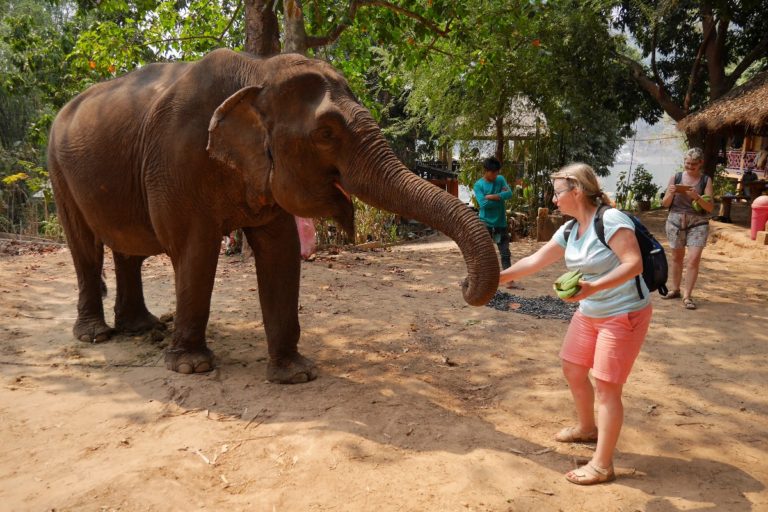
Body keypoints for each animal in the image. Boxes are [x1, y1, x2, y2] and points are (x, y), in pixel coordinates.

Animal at [49, 49, 504, 384]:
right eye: (326, 134)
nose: (463, 284)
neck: (257, 71)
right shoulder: (176, 163)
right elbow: (195, 251)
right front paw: (192, 368)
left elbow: (281, 250)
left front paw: (295, 374)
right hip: (58, 170)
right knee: (85, 246)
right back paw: (97, 336)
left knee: (126, 250)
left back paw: (141, 328)